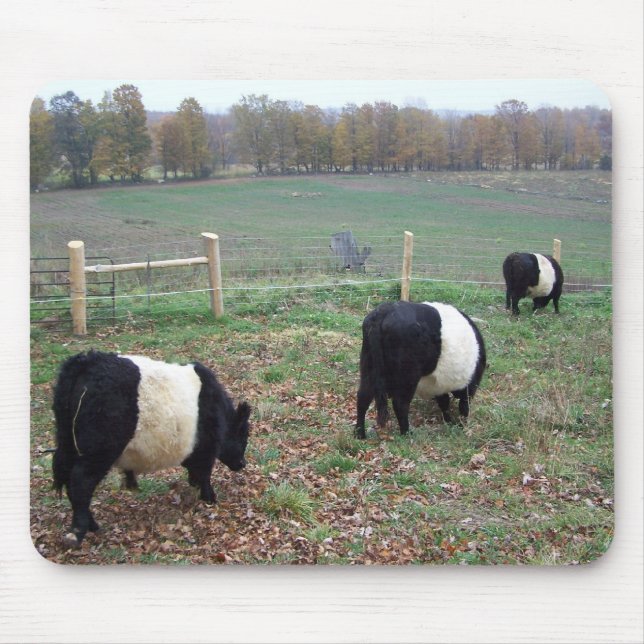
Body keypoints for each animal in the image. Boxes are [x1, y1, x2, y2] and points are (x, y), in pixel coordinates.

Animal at [51, 350, 251, 547]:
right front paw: (210, 498)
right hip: (98, 451)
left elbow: (195, 472)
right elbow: (204, 474)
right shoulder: (206, 448)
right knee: (81, 482)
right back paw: (78, 533)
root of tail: (86, 361)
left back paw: (91, 525)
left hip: (68, 444)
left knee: (70, 482)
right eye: (244, 436)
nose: (242, 464)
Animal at [355, 300, 486, 438]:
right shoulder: (470, 383)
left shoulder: (439, 385)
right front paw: (462, 424)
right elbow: (464, 404)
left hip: (368, 365)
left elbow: (444, 402)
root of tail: (384, 311)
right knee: (400, 403)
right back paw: (407, 433)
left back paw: (360, 434)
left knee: (363, 397)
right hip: (408, 375)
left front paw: (449, 421)